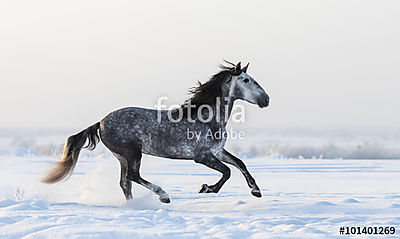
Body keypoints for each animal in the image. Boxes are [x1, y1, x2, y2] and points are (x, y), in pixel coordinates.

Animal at [42, 61, 268, 204]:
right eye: (246, 80)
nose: (266, 100)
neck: (207, 117)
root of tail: (101, 122)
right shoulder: (202, 156)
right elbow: (227, 171)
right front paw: (206, 188)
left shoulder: (217, 151)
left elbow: (239, 164)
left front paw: (256, 190)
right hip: (132, 153)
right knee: (133, 176)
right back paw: (164, 196)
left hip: (122, 156)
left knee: (125, 182)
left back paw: (134, 206)